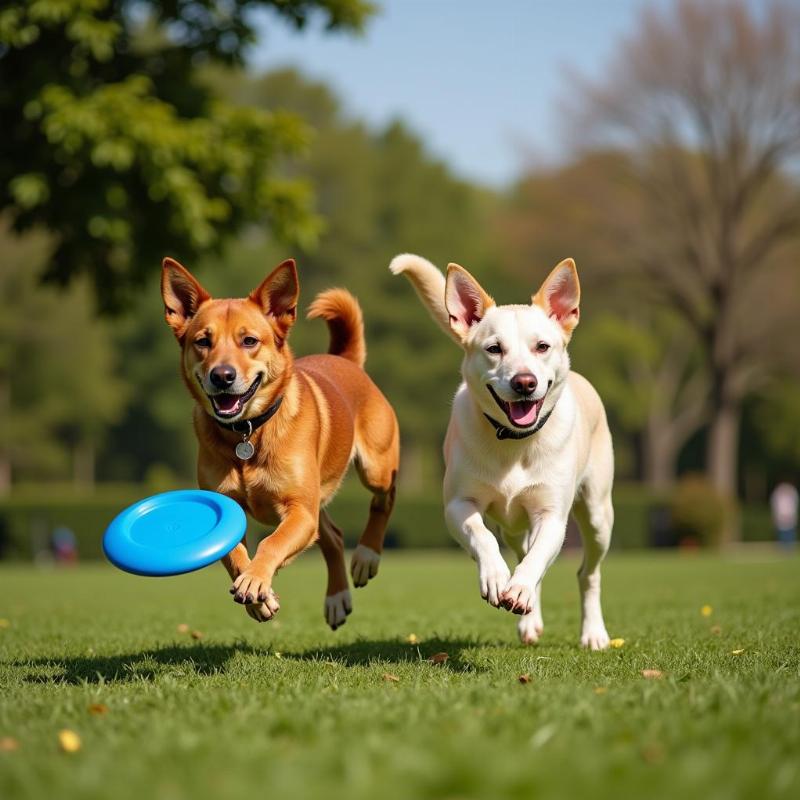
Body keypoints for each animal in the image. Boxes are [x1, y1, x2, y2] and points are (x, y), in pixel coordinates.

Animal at [161, 260, 398, 628]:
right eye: (203, 341)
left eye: (249, 341)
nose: (222, 376)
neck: (247, 433)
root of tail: (346, 361)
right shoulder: (233, 508)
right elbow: (232, 554)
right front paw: (259, 597)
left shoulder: (299, 511)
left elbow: (272, 544)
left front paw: (256, 581)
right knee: (333, 536)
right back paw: (337, 598)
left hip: (375, 467)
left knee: (384, 498)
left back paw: (366, 556)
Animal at [392, 256, 612, 648]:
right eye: (494, 349)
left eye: (542, 346)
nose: (524, 382)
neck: (514, 442)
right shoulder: (458, 505)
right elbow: (481, 536)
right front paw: (496, 578)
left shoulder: (551, 515)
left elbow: (538, 557)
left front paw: (519, 587)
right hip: (512, 526)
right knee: (519, 549)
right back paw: (529, 620)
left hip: (598, 515)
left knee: (587, 573)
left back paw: (593, 634)